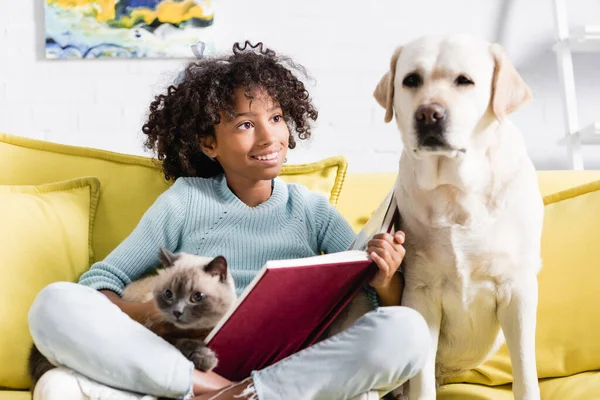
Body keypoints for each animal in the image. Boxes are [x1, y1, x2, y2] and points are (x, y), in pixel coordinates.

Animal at [376, 34, 544, 400]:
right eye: (411, 80)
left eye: (464, 81)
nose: (428, 114)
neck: (454, 192)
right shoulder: (421, 293)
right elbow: (422, 381)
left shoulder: (518, 289)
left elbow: (525, 373)